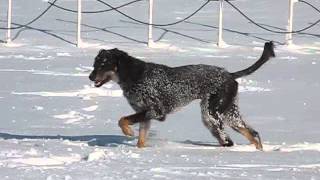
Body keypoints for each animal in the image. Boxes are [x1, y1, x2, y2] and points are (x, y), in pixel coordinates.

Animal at [89, 41, 276, 150]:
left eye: (103, 64)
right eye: (95, 64)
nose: (90, 77)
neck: (134, 75)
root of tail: (230, 74)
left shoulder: (156, 112)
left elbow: (123, 119)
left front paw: (127, 131)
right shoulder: (145, 114)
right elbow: (141, 139)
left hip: (213, 113)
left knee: (229, 139)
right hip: (227, 113)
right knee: (252, 133)